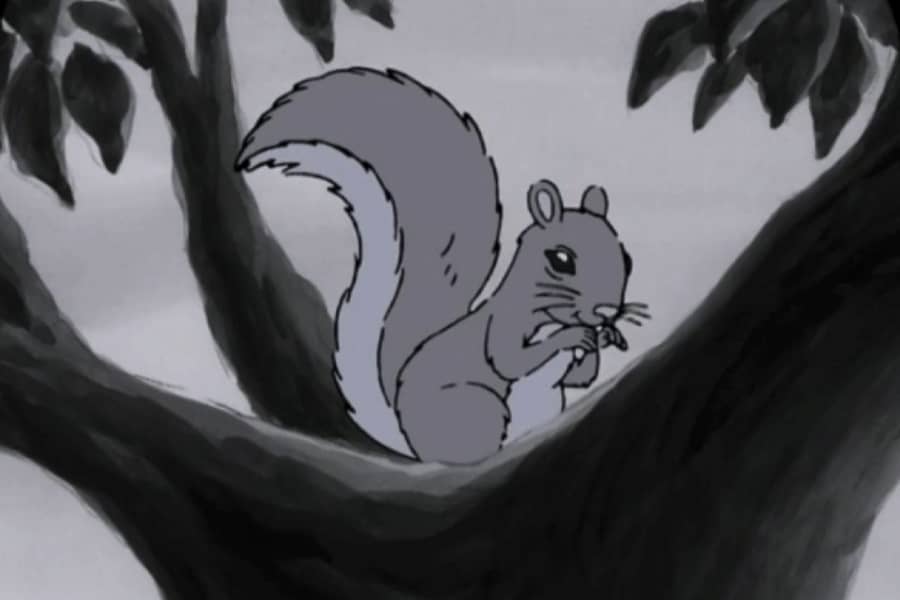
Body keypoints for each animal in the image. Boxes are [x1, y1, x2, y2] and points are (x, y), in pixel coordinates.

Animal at [235, 67, 647, 464]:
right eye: (561, 260)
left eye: (626, 258)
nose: (607, 310)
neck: (549, 310)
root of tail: (410, 441)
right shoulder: (504, 325)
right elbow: (510, 361)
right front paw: (573, 337)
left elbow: (579, 378)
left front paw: (603, 338)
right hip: (475, 405)